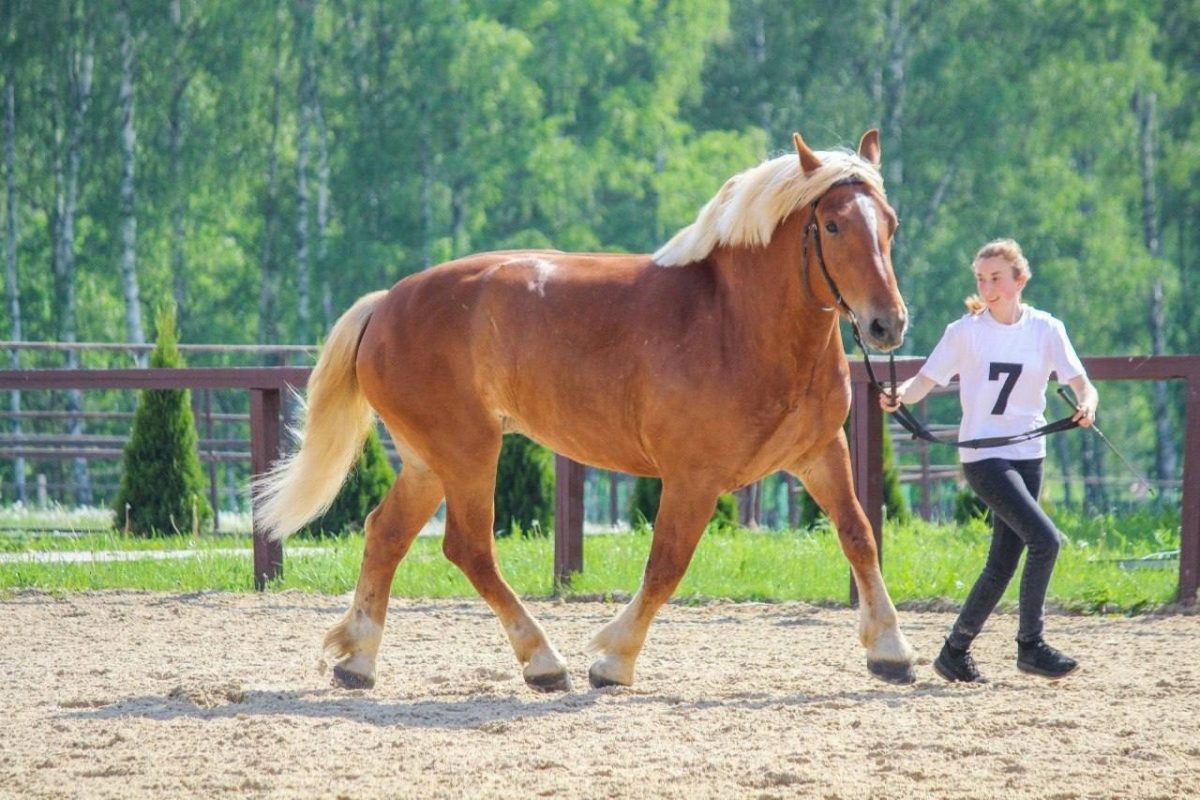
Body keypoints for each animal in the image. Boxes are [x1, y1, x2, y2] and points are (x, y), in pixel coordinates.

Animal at [262, 128, 912, 690]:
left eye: (890, 225)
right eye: (831, 224)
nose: (887, 324)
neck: (737, 322)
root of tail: (386, 302)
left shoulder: (820, 452)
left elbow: (859, 535)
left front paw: (891, 650)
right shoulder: (692, 478)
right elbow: (666, 564)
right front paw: (614, 659)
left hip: (428, 462)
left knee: (386, 534)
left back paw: (359, 661)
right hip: (467, 452)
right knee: (470, 549)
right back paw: (543, 661)